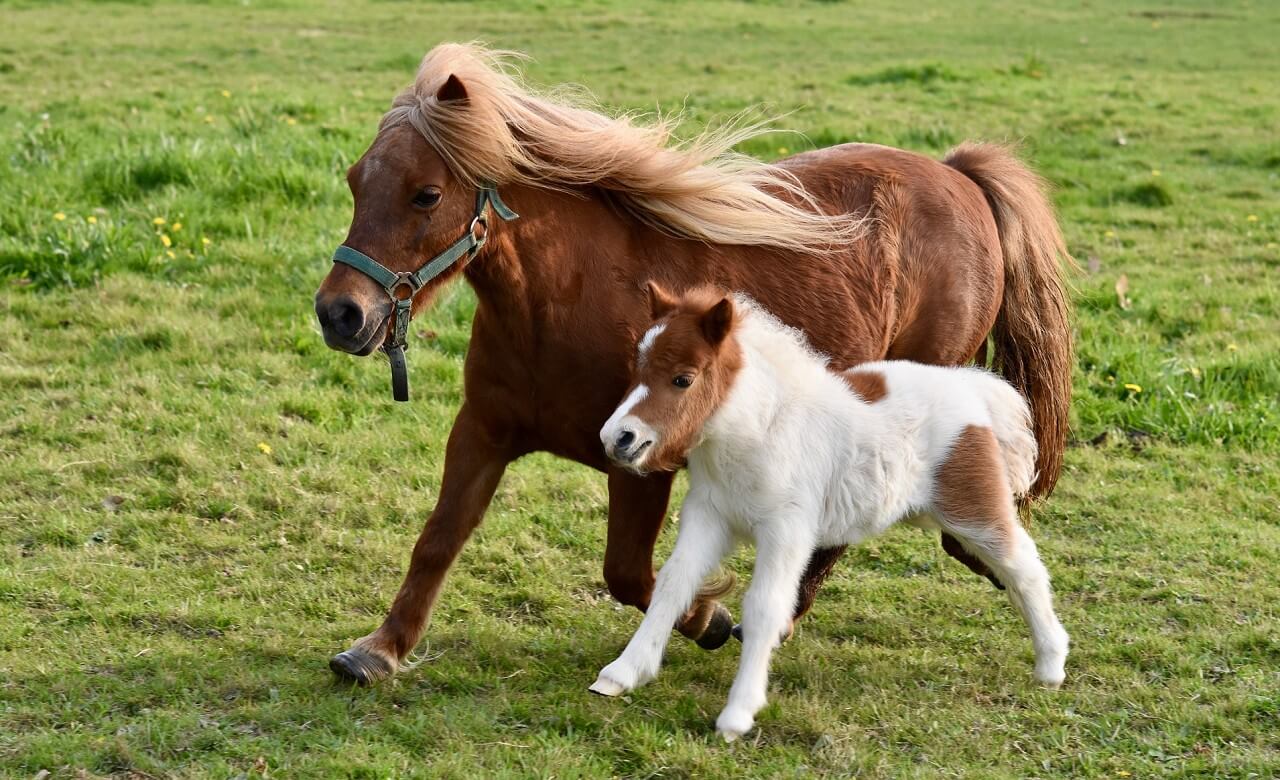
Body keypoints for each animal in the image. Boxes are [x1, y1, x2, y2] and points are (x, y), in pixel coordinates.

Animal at [313, 43, 1074, 685]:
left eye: (426, 193)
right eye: (354, 181)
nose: (339, 314)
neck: (562, 302)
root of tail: (958, 176)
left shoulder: (641, 460)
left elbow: (630, 574)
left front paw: (709, 617)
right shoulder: (483, 431)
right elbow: (439, 539)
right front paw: (379, 649)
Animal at [591, 284, 1069, 740]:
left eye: (683, 379)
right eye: (637, 368)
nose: (618, 438)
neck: (759, 431)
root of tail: (972, 388)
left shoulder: (786, 531)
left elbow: (765, 607)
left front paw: (737, 715)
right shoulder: (709, 517)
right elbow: (673, 584)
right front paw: (622, 673)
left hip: (973, 510)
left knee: (1024, 567)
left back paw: (1051, 663)